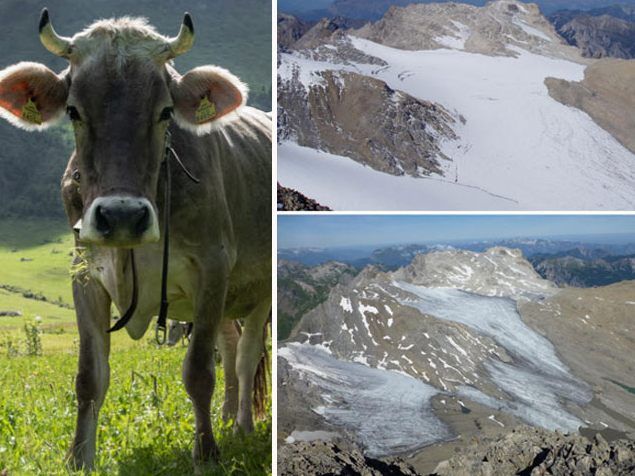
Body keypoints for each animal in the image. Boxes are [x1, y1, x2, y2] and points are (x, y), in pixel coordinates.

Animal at [0, 9, 270, 470]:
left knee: (246, 356)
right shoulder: (85, 274)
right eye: (73, 110)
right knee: (232, 345)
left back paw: (241, 428)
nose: (122, 216)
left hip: (259, 291)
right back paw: (225, 419)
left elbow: (199, 372)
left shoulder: (212, 267)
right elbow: (90, 375)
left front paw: (206, 454)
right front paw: (79, 459)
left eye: (165, 112)